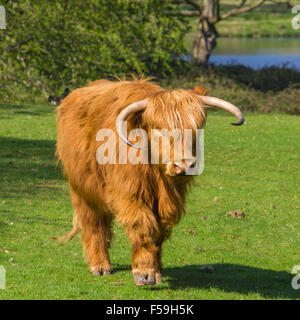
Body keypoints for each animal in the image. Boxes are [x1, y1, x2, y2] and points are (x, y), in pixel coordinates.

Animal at [56, 79, 244, 286]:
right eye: (159, 129)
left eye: (197, 129)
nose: (184, 165)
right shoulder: (130, 194)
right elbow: (142, 225)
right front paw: (144, 272)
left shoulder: (168, 202)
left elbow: (159, 231)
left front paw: (157, 271)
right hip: (83, 190)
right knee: (94, 224)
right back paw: (100, 265)